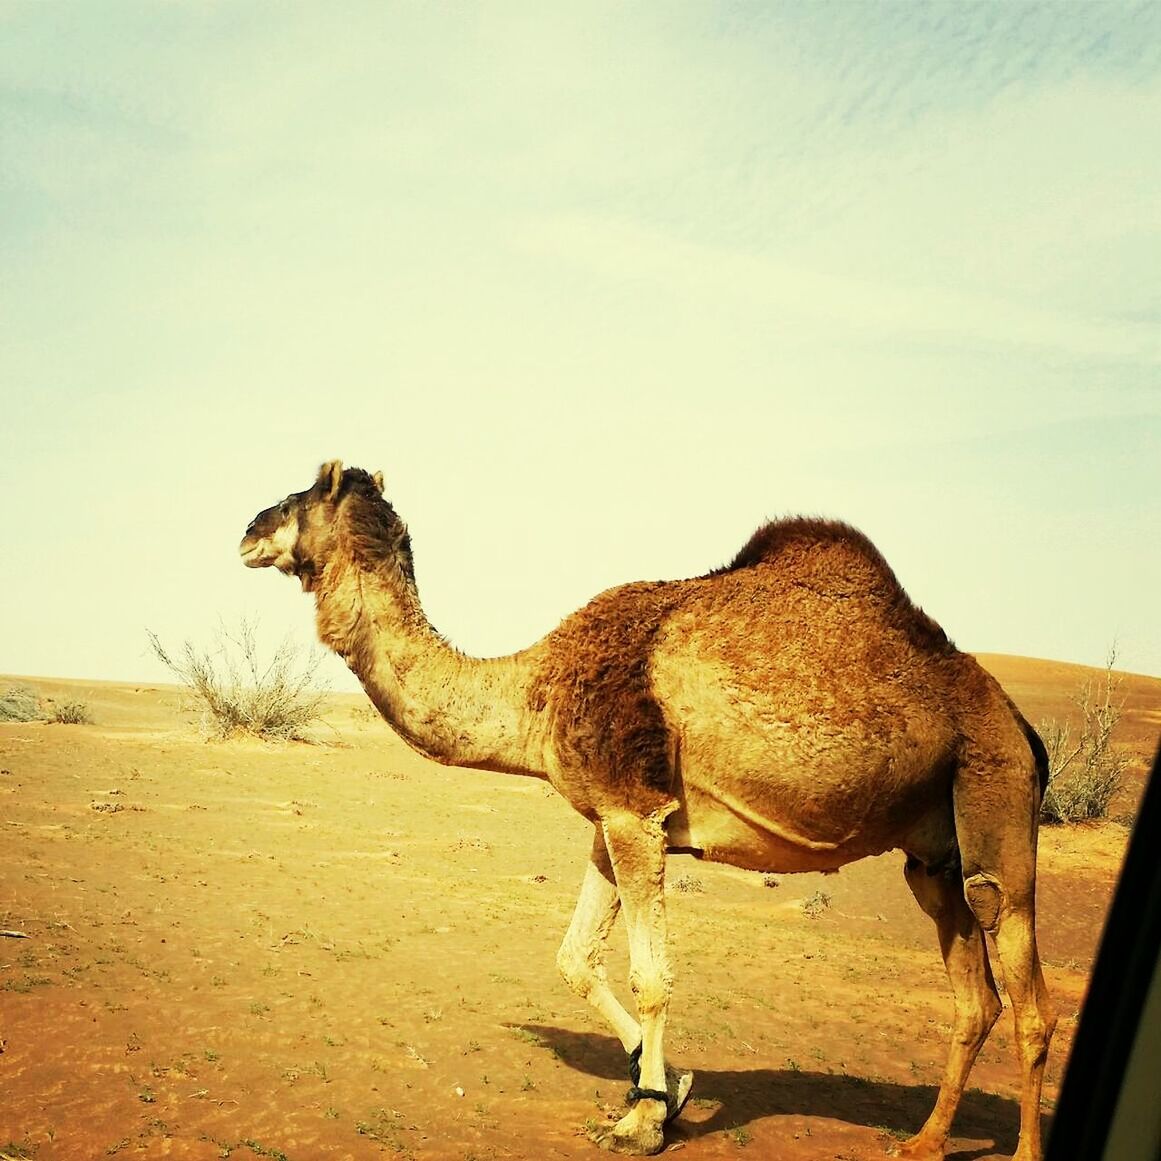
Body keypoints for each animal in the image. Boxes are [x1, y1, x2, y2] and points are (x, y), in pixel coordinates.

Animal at [240, 462, 1058, 1161]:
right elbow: (573, 958)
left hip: (993, 789)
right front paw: (668, 1089)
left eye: (299, 494)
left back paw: (1019, 1148)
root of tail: (1022, 726)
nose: (246, 529)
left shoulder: (636, 812)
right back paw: (924, 1141)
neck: (535, 691)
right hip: (933, 848)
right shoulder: (610, 818)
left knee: (1020, 974)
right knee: (973, 995)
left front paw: (641, 1121)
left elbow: (652, 975)